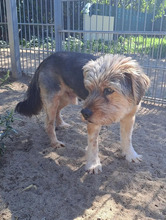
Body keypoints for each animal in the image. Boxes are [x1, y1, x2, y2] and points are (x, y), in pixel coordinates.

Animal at [15, 51, 150, 174]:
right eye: (88, 89)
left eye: (109, 90)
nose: (84, 113)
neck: (123, 106)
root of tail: (47, 59)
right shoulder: (93, 123)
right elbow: (93, 144)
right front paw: (93, 164)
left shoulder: (129, 118)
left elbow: (128, 139)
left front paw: (131, 155)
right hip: (52, 100)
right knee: (48, 123)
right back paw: (55, 142)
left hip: (68, 98)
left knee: (58, 111)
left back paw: (61, 124)